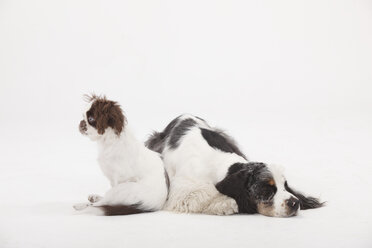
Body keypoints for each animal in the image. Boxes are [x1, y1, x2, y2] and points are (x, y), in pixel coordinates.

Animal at [145, 114, 322, 217]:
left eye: (285, 186)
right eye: (266, 189)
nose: (295, 203)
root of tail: (183, 115)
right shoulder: (181, 190)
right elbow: (206, 193)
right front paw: (226, 204)